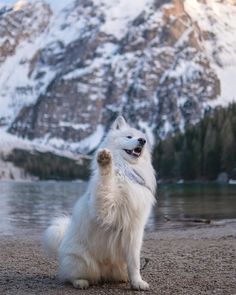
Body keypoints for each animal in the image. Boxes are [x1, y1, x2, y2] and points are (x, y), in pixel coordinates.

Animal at [43, 115, 157, 292]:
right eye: (129, 137)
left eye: (141, 137)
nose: (142, 140)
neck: (125, 170)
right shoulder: (105, 208)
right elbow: (105, 184)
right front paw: (105, 161)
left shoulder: (134, 231)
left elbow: (135, 263)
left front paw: (138, 282)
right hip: (81, 262)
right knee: (70, 276)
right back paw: (80, 282)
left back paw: (124, 279)